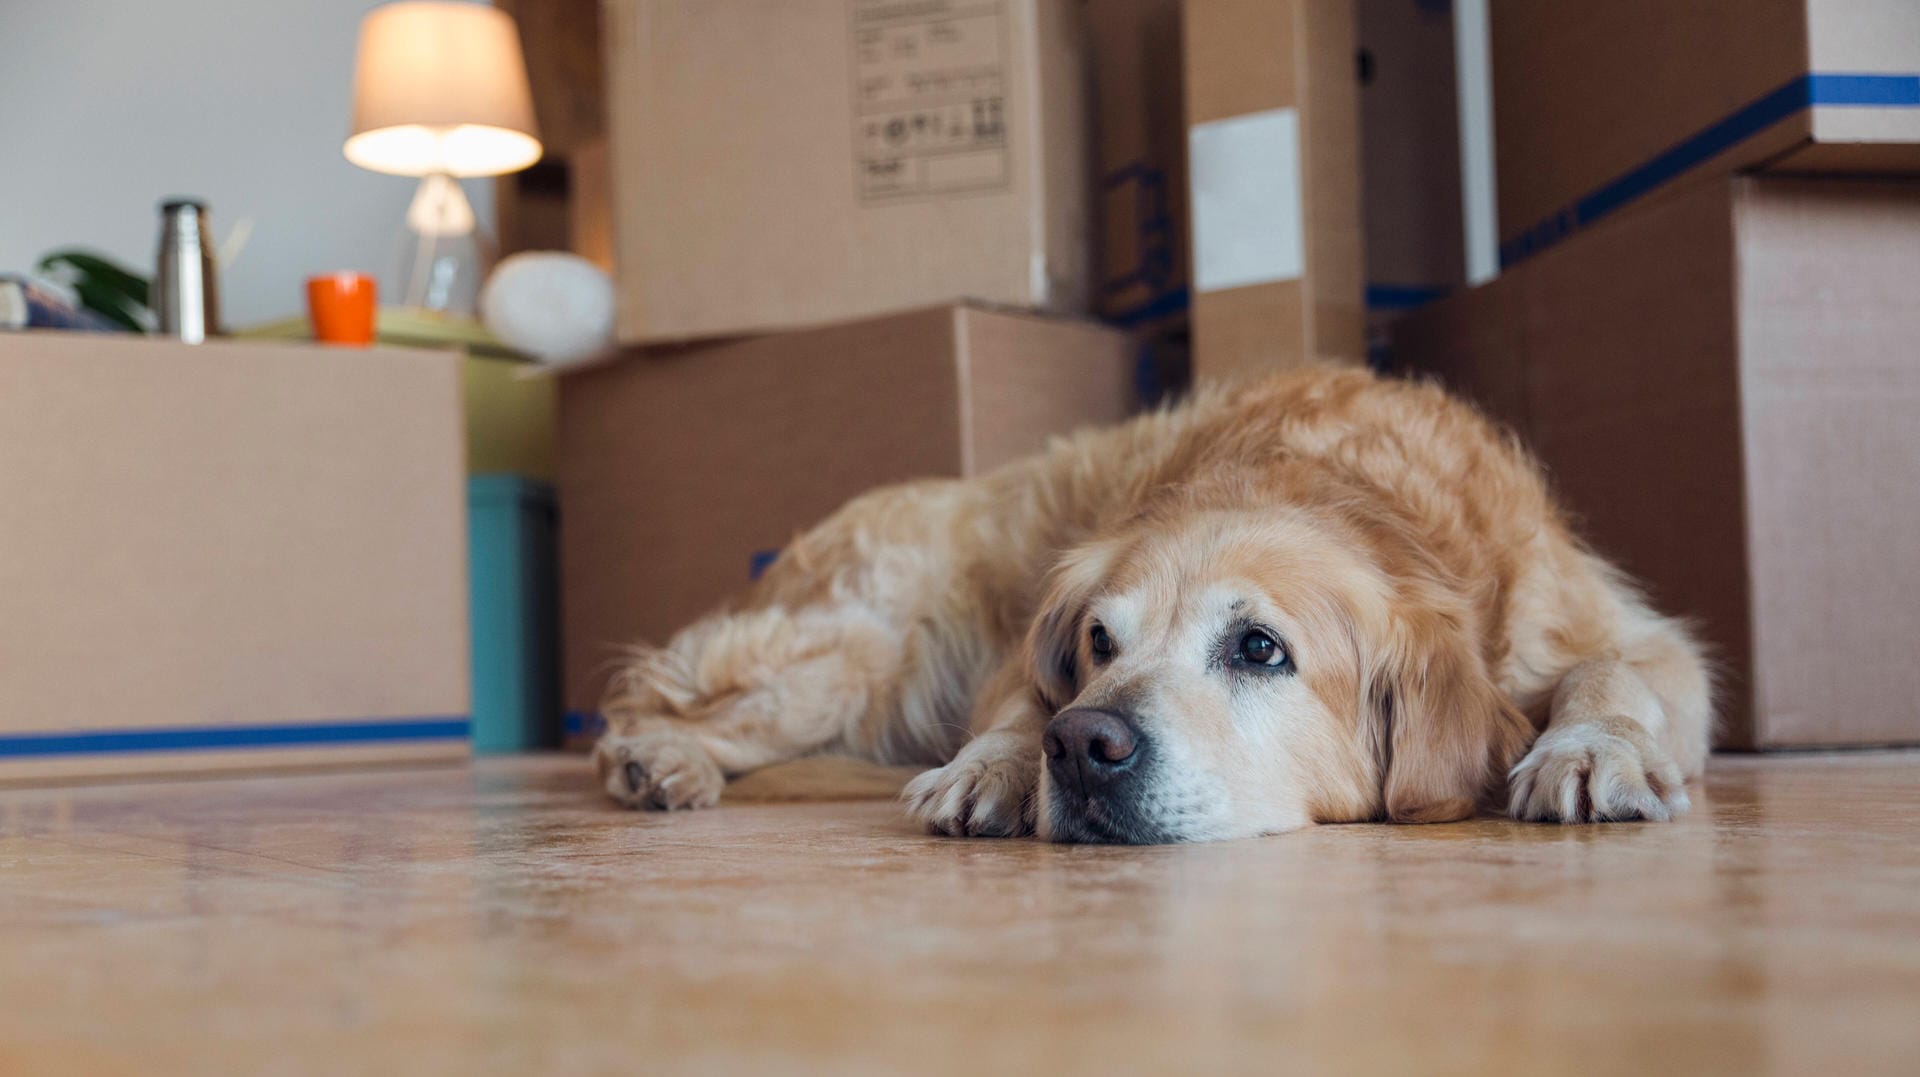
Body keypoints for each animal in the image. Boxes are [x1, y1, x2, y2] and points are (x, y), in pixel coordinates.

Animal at [587, 364, 1712, 844]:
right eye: (1096, 642)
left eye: (1258, 648)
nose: (1084, 746)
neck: (1333, 477)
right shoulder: (1020, 655)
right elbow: (1014, 701)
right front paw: (995, 766)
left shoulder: (1614, 626)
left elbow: (1620, 668)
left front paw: (1589, 748)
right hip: (849, 654)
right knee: (649, 698)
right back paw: (659, 759)